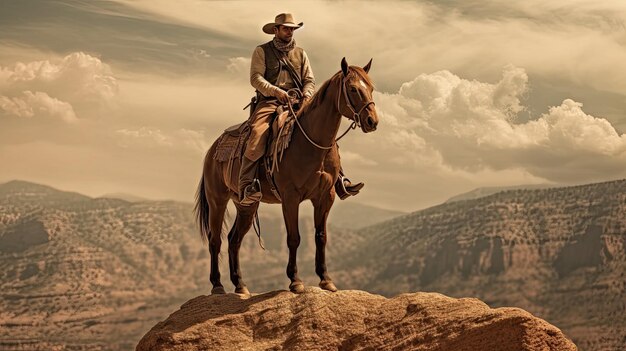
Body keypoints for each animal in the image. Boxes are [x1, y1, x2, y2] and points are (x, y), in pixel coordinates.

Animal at [191, 57, 376, 294]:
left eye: (371, 88)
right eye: (353, 89)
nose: (372, 121)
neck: (311, 143)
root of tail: (212, 150)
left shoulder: (326, 196)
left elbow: (321, 237)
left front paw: (326, 279)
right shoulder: (290, 197)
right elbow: (294, 238)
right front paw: (295, 280)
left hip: (246, 205)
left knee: (234, 239)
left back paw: (240, 285)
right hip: (218, 201)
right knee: (216, 240)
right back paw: (218, 285)